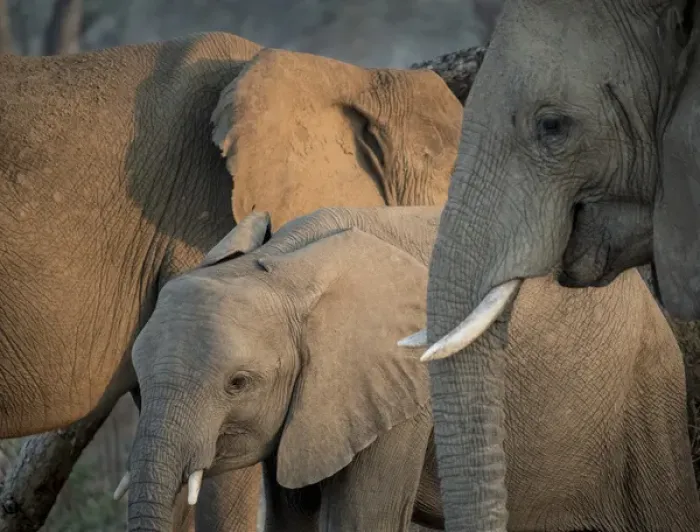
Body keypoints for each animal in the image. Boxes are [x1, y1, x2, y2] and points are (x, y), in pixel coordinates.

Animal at [122, 207, 700, 531]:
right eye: (140, 388)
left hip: (647, 401)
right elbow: (294, 516)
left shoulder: (400, 391)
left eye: (238, 383)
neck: (282, 264)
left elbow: (361, 520)